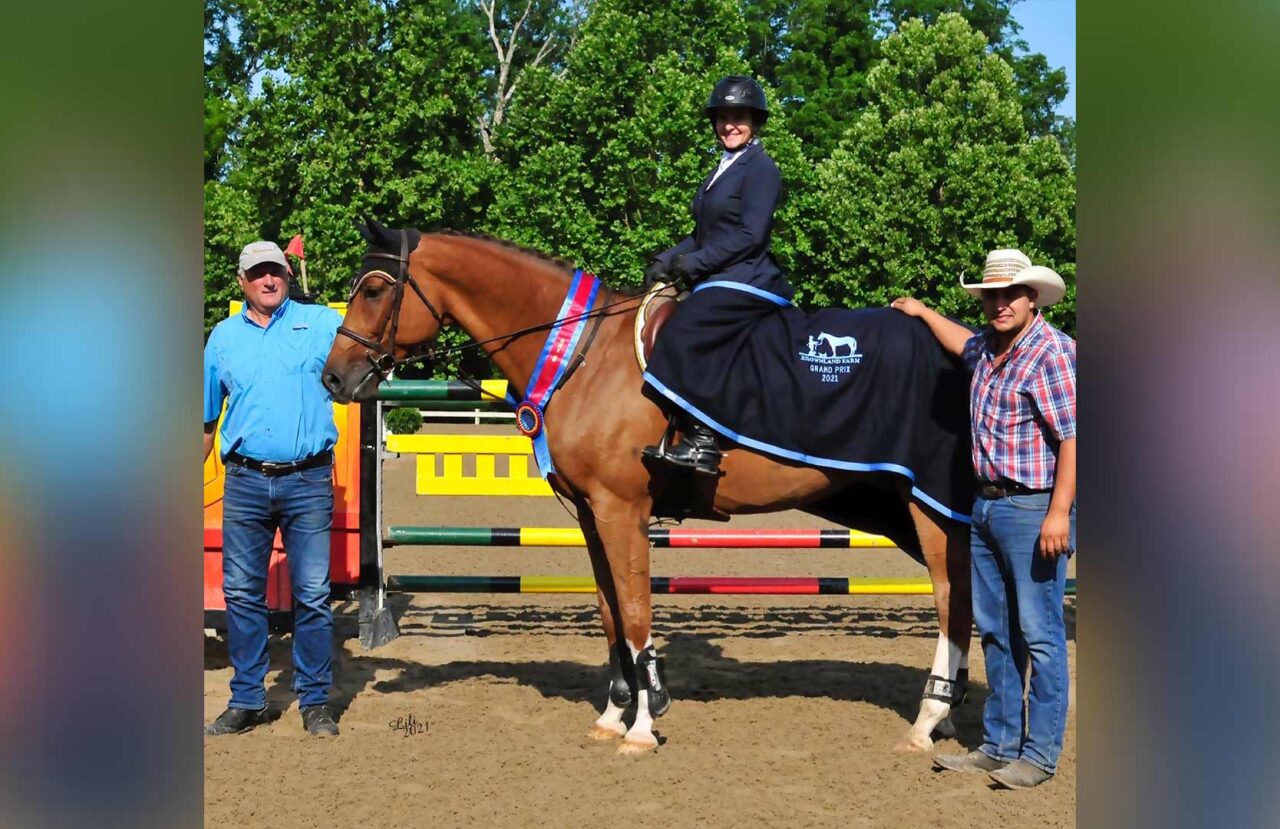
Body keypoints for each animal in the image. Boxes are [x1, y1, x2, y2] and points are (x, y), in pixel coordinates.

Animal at [322, 223, 967, 752]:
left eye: (374, 290)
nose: (332, 378)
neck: (582, 357)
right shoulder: (590, 515)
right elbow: (609, 611)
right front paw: (614, 713)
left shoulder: (621, 511)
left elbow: (634, 611)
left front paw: (644, 721)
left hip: (930, 512)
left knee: (951, 603)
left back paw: (929, 720)